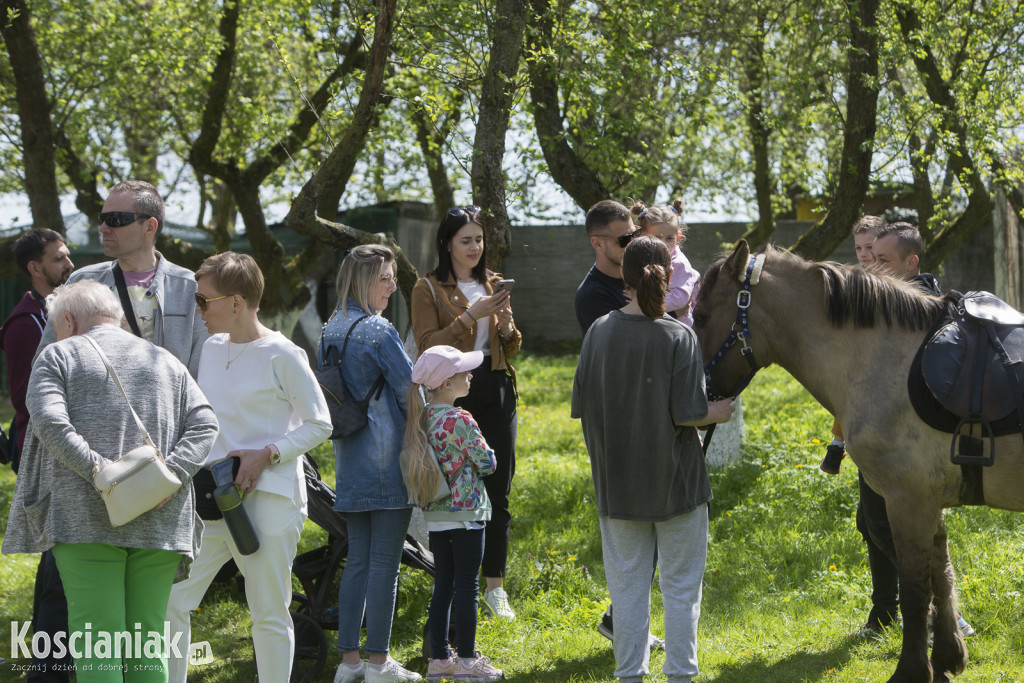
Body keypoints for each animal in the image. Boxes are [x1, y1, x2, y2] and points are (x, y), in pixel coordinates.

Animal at [692, 240, 1024, 683]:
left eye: (702, 314)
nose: (699, 396)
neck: (886, 361)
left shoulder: (907, 500)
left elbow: (915, 590)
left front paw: (912, 671)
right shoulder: (928, 502)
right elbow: (941, 576)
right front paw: (948, 657)